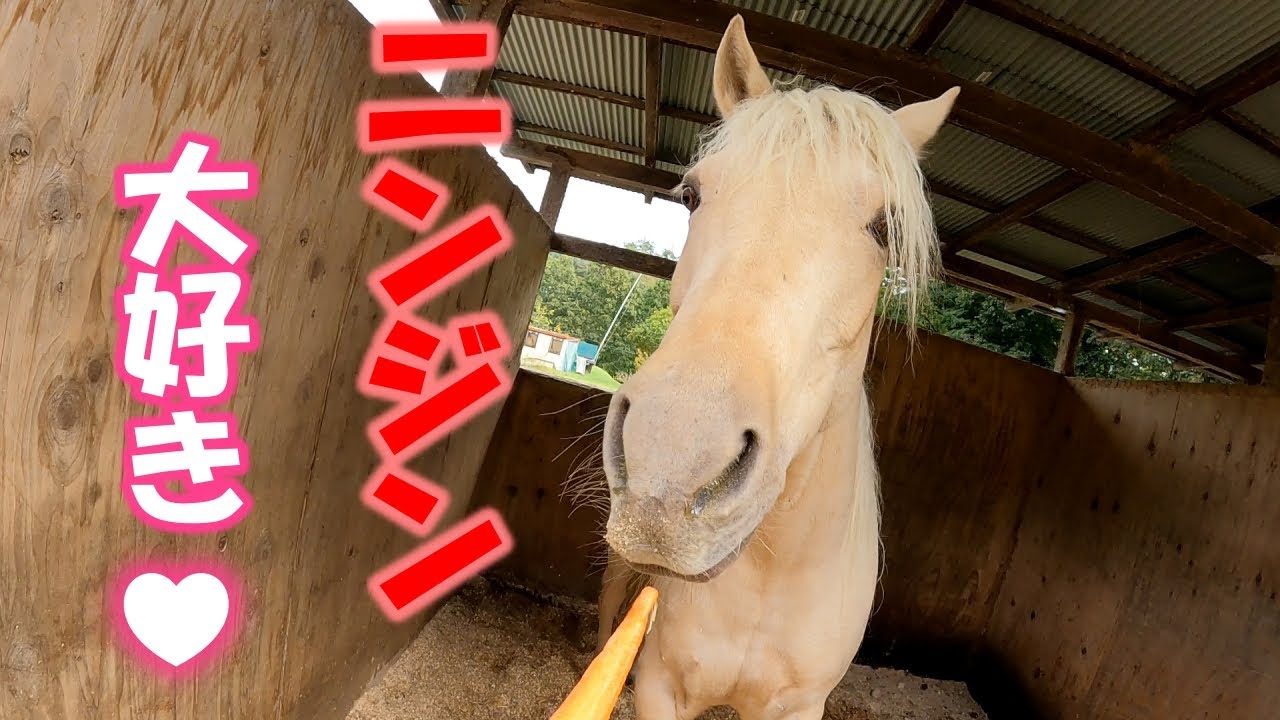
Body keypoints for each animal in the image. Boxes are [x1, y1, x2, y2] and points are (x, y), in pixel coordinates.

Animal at [589, 15, 958, 720]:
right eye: (691, 194)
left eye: (883, 229)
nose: (671, 465)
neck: (772, 569)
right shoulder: (659, 684)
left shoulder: (798, 705)